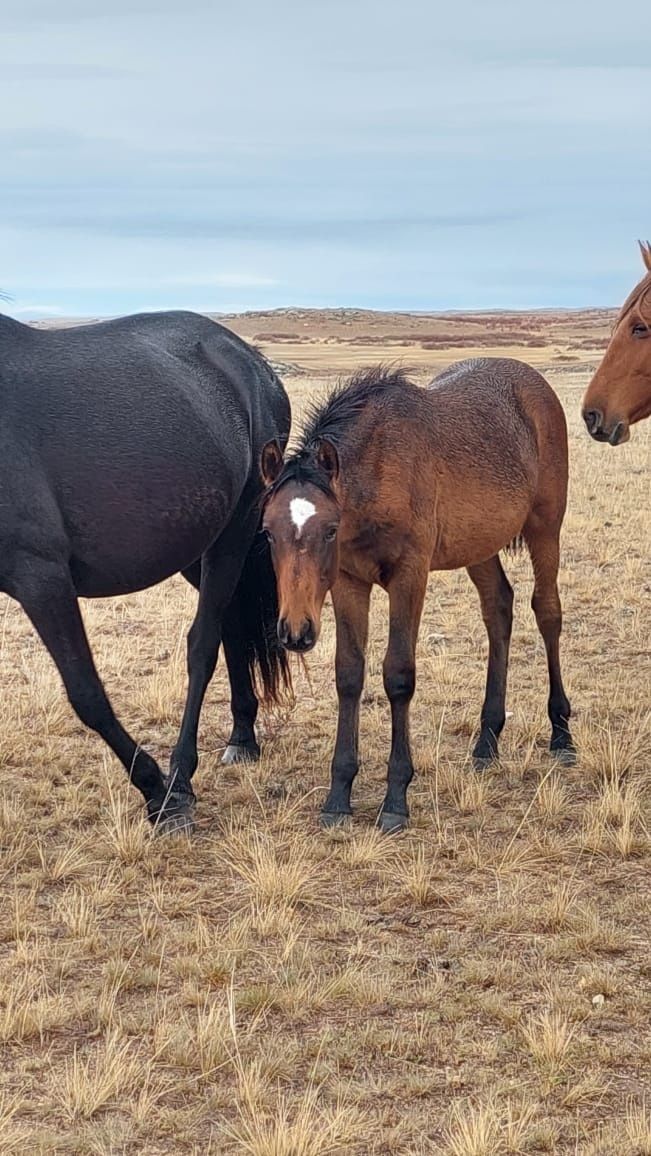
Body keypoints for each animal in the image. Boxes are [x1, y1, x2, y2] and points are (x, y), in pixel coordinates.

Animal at [0, 309, 290, 832]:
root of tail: (252, 361)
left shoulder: (40, 576)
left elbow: (87, 695)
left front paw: (157, 791)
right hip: (199, 546)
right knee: (233, 628)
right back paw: (242, 736)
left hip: (235, 531)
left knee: (203, 644)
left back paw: (181, 776)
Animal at [261, 360, 575, 832]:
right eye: (267, 532)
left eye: (330, 530)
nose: (296, 631)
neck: (377, 471)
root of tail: (535, 383)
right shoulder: (349, 582)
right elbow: (349, 674)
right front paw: (338, 794)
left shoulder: (409, 578)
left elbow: (398, 676)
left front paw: (396, 797)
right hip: (479, 546)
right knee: (498, 609)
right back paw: (487, 739)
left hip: (545, 528)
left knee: (548, 612)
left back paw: (561, 732)